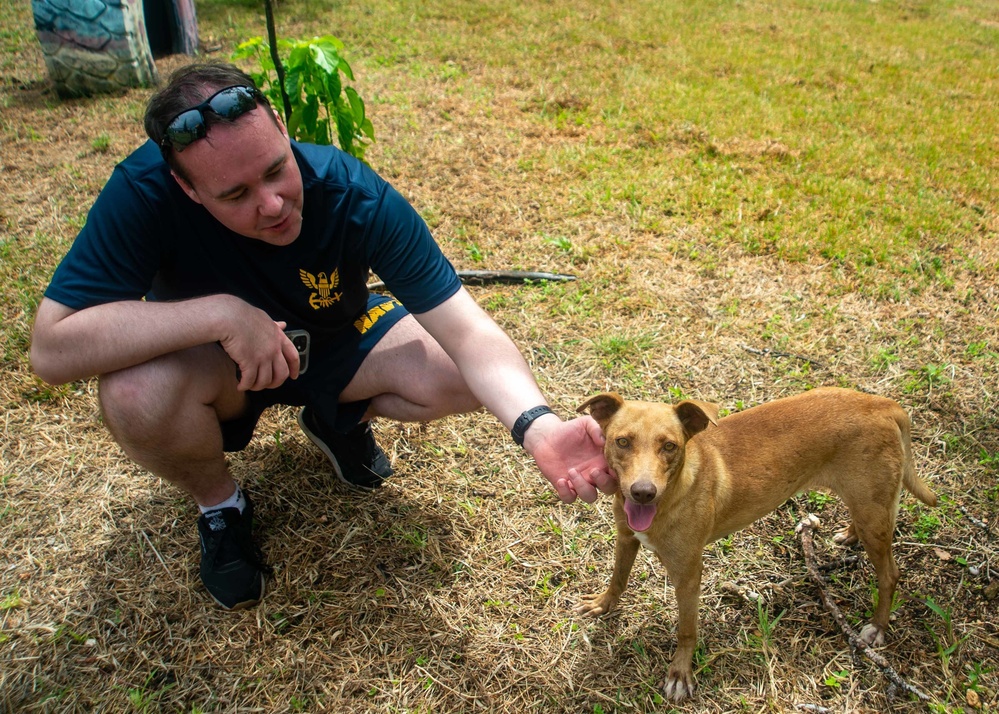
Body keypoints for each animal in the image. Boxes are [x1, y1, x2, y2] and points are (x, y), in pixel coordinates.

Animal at [576, 386, 940, 700]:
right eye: (622, 441)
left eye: (670, 447)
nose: (642, 492)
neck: (675, 490)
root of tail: (882, 404)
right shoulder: (626, 538)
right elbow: (618, 578)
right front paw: (603, 603)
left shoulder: (689, 575)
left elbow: (686, 630)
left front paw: (680, 673)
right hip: (867, 506)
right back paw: (850, 534)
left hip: (873, 514)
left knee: (890, 575)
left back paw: (877, 627)